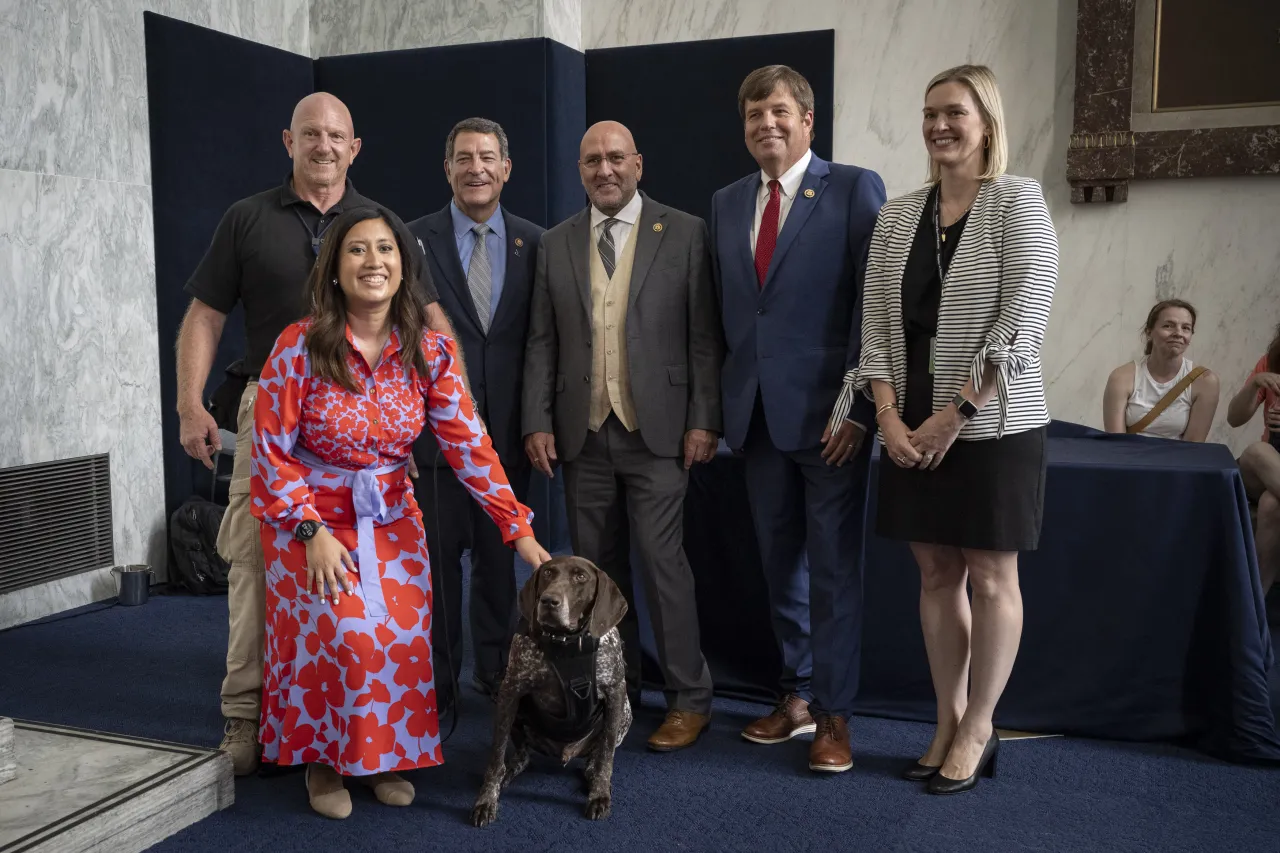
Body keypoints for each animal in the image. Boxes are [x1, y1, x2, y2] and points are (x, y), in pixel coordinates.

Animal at [471, 550, 629, 824]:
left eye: (580, 577)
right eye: (547, 573)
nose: (548, 601)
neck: (566, 642)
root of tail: (564, 753)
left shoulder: (616, 691)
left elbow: (607, 755)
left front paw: (599, 793)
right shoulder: (510, 691)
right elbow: (496, 757)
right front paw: (487, 797)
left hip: (625, 712)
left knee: (597, 756)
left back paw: (592, 774)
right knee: (522, 756)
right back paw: (510, 771)